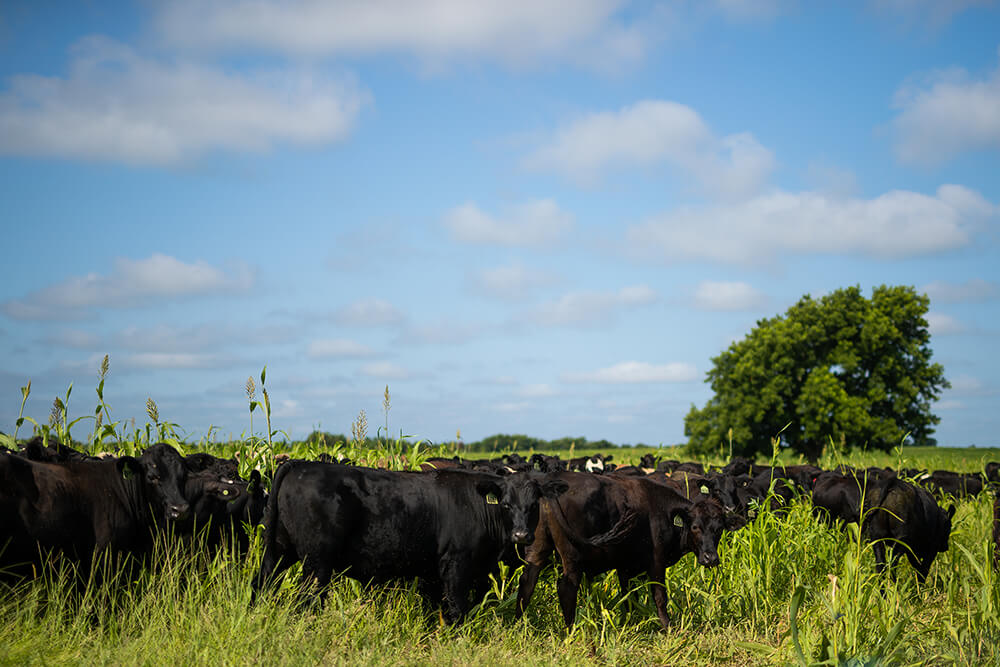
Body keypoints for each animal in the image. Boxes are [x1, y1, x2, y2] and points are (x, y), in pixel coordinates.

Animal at [254, 462, 568, 624]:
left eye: (534, 504)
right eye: (505, 504)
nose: (521, 536)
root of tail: (301, 464)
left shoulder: (434, 573)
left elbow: (435, 612)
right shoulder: (456, 565)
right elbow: (457, 609)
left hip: (279, 551)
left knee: (262, 583)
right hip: (317, 562)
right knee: (308, 598)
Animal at [516, 474, 744, 632]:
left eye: (719, 528)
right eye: (695, 527)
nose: (710, 558)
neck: (664, 511)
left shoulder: (626, 567)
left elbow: (629, 597)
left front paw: (629, 624)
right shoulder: (656, 562)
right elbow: (659, 597)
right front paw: (668, 628)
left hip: (538, 547)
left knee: (527, 582)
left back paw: (518, 624)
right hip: (572, 556)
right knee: (566, 589)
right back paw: (571, 631)